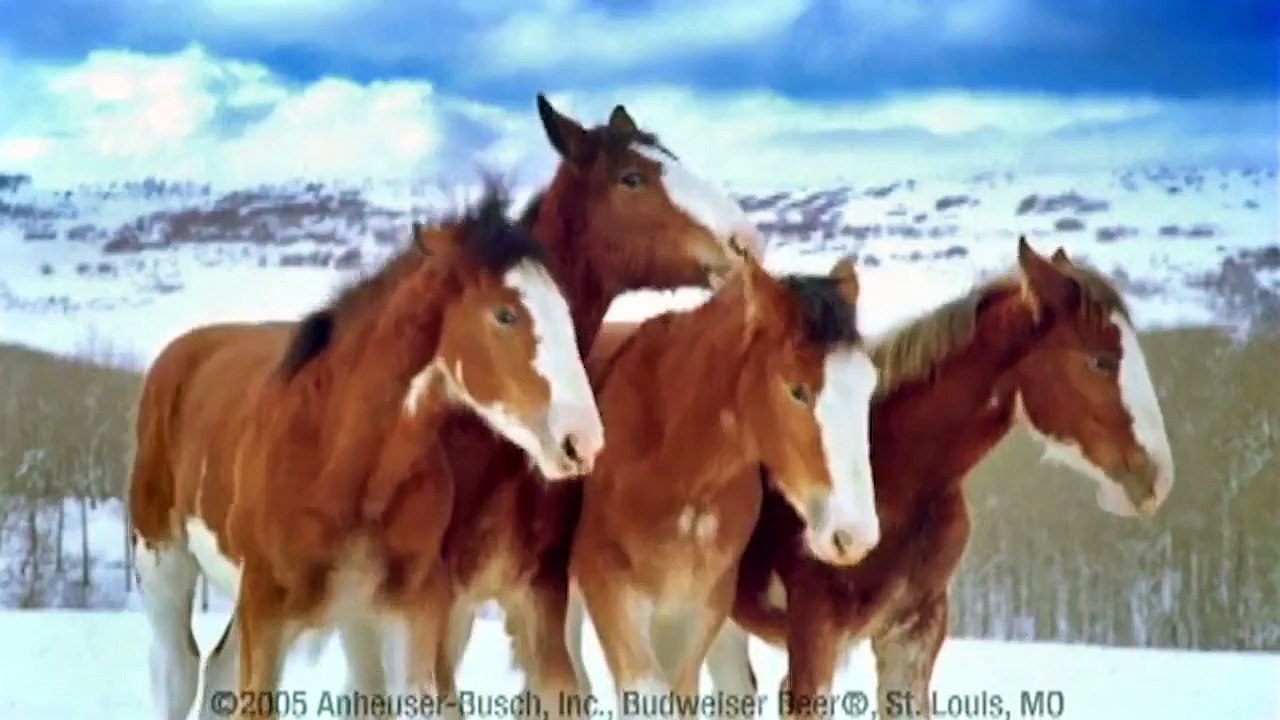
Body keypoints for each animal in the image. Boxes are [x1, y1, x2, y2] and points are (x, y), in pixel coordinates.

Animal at [127, 186, 604, 720]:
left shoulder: (408, 619)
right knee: (178, 671)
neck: (339, 461)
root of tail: (179, 354)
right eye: (504, 314)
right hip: (162, 565)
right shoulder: (265, 615)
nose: (581, 440)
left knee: (217, 673)